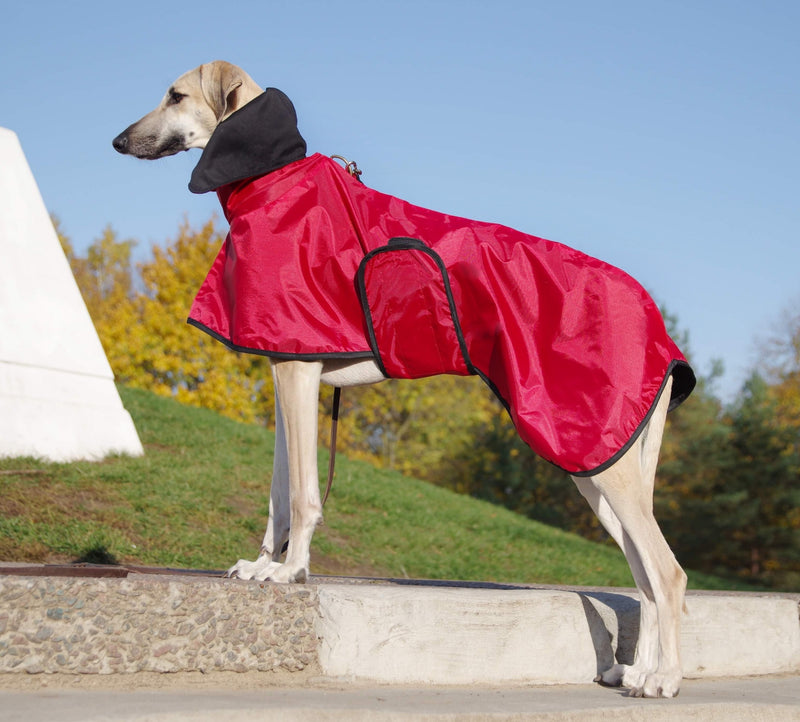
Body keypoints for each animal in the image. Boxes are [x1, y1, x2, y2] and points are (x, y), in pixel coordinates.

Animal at [114, 62, 692, 696]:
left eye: (176, 96)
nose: (118, 142)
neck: (271, 179)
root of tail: (656, 321)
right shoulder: (285, 369)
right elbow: (277, 494)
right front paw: (264, 563)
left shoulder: (298, 370)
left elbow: (303, 492)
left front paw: (291, 571)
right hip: (596, 466)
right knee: (644, 576)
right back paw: (637, 670)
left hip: (597, 454)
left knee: (669, 573)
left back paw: (664, 679)